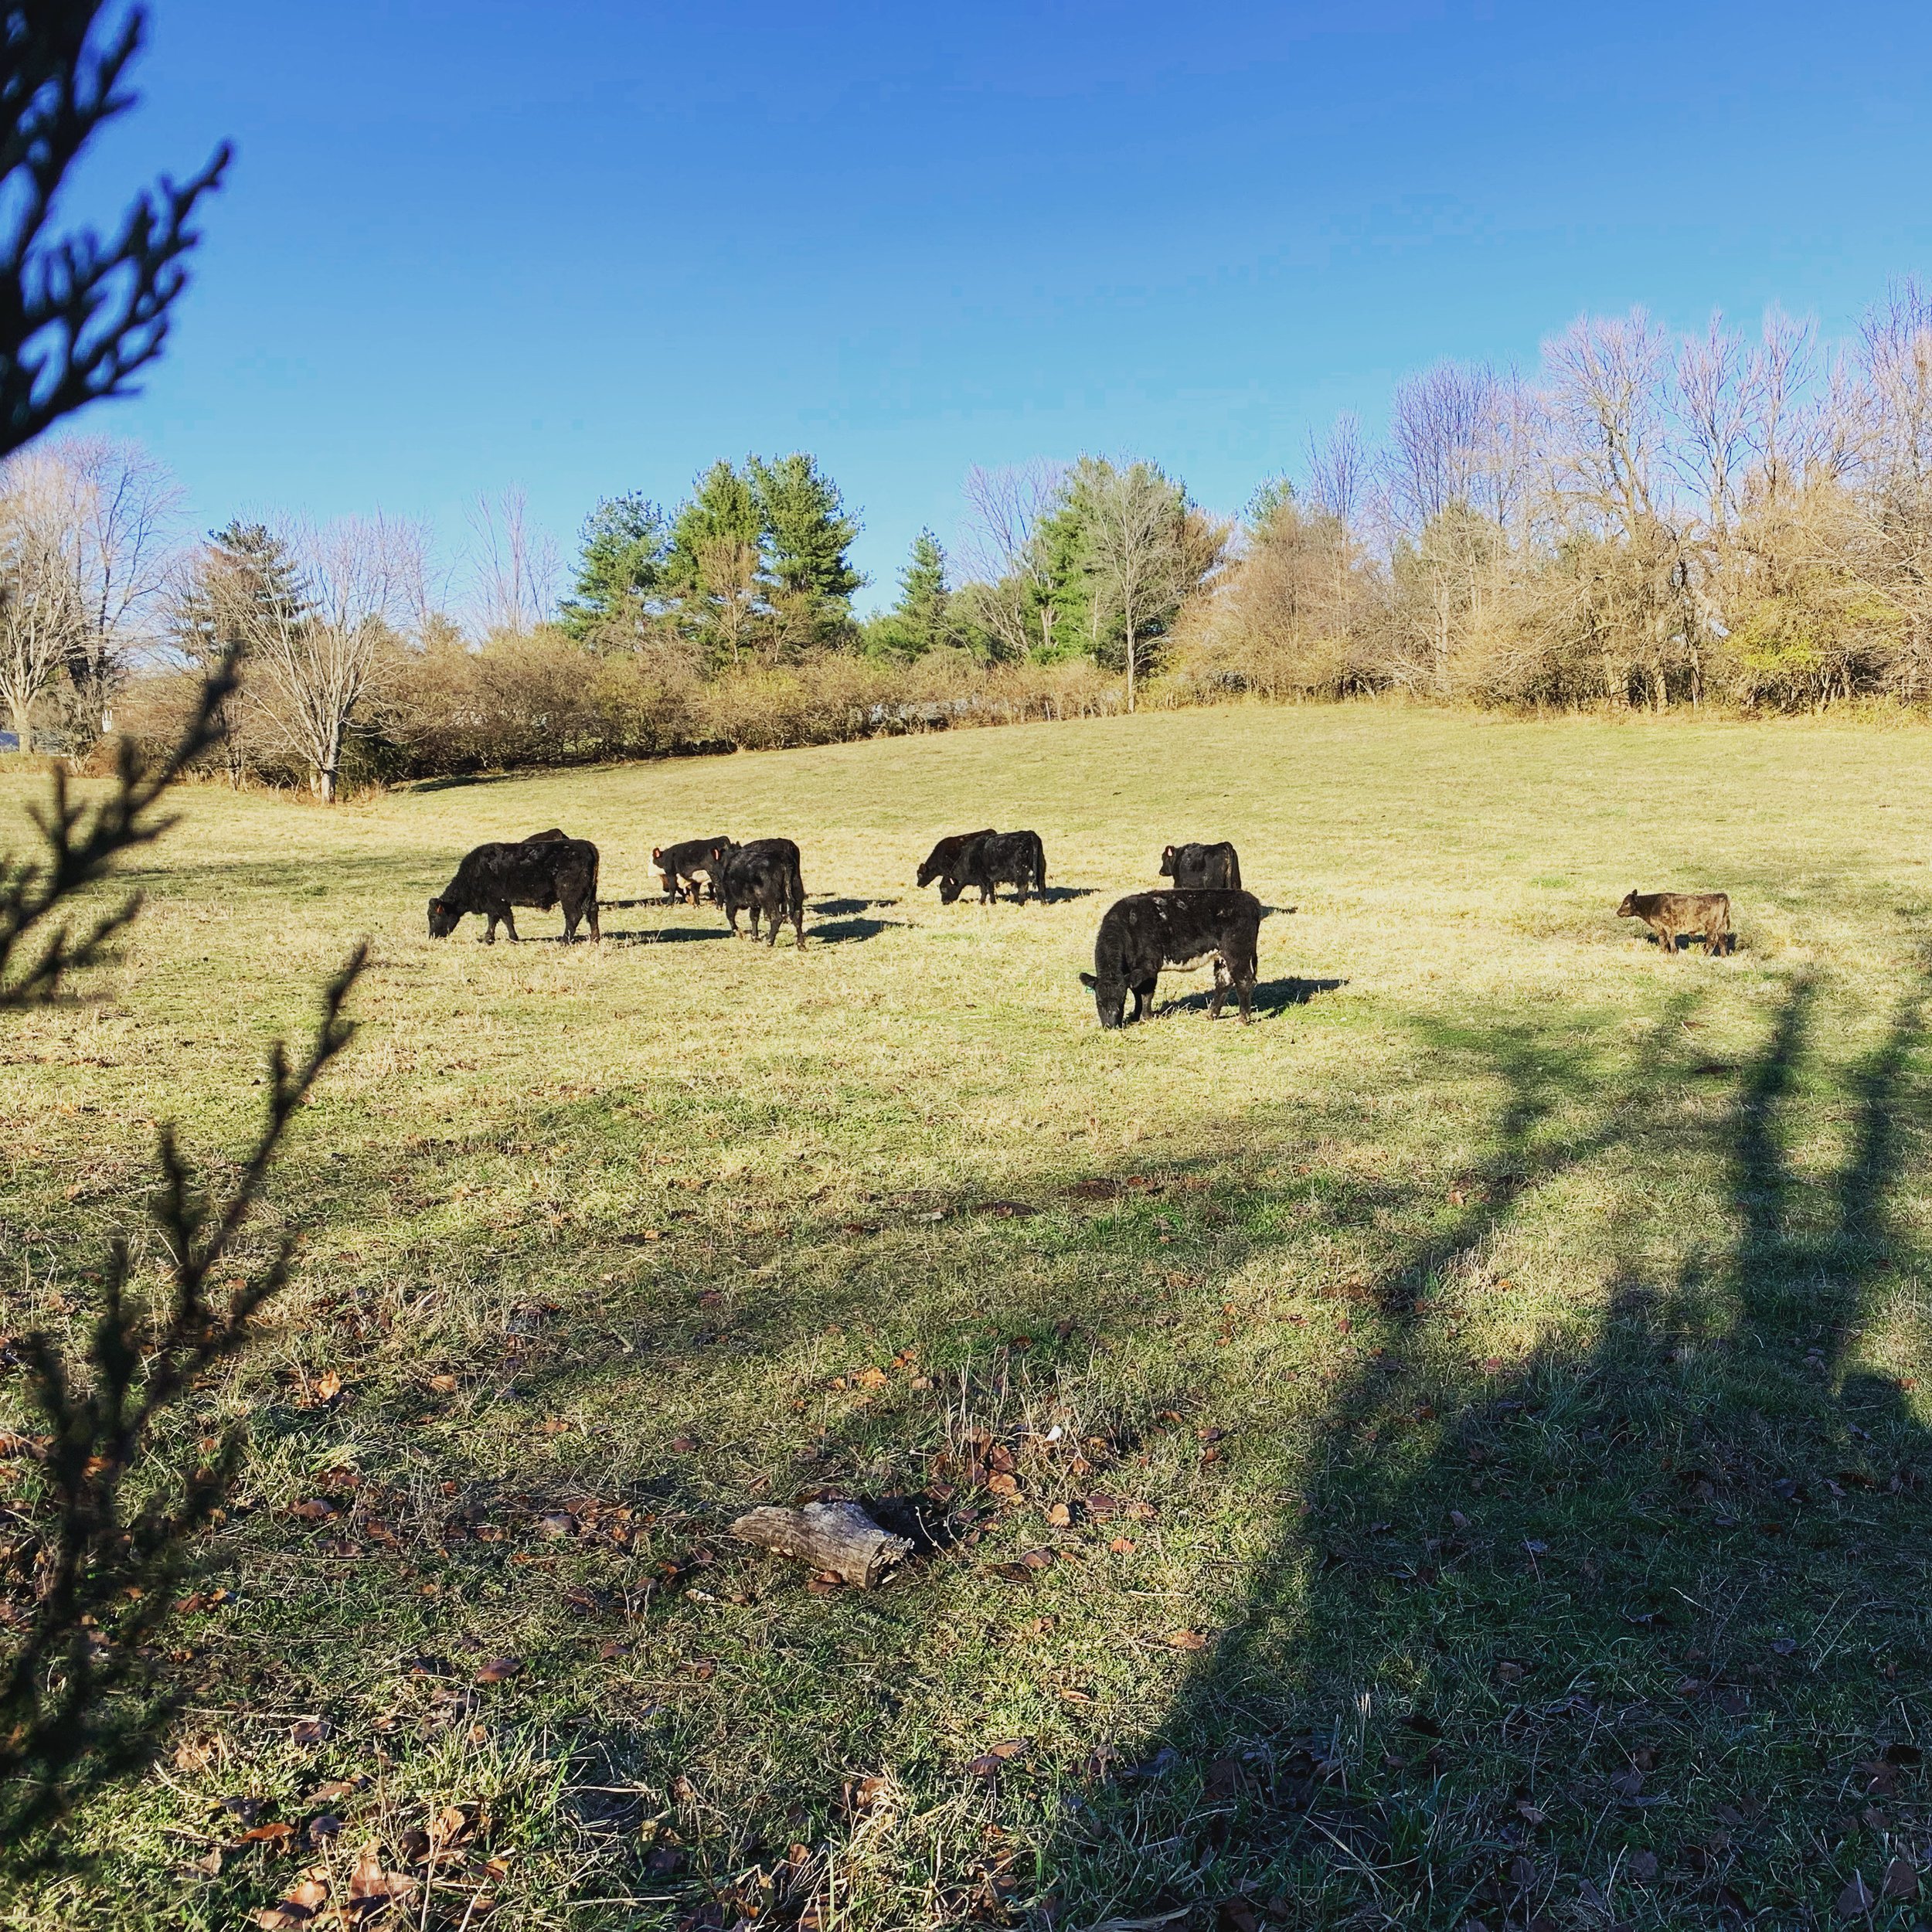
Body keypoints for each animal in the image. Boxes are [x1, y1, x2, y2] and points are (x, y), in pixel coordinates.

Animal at [428, 835, 600, 943]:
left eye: (434, 917)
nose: (432, 936)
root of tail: (586, 846)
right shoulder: (493, 904)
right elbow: (493, 920)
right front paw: (488, 938)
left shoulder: (499, 902)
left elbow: (506, 919)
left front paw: (512, 938)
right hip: (589, 894)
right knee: (592, 910)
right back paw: (595, 939)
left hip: (570, 895)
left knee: (573, 915)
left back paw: (564, 941)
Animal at [716, 837, 806, 947]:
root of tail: (783, 858)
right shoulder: (755, 903)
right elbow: (754, 917)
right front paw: (754, 937)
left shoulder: (731, 899)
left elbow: (730, 915)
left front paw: (739, 933)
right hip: (797, 893)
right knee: (797, 916)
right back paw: (800, 943)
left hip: (769, 900)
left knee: (777, 918)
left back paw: (769, 941)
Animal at [939, 830, 1048, 905]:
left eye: (943, 889)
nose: (944, 902)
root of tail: (1029, 834)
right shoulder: (987, 879)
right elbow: (988, 890)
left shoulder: (984, 877)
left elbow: (986, 890)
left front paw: (986, 902)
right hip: (1040, 867)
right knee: (1041, 884)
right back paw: (1043, 903)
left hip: (1019, 872)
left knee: (1023, 886)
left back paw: (1020, 904)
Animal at [1080, 889, 1263, 1028]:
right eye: (1099, 1001)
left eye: (1121, 1001)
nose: (1110, 1026)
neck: (1128, 926)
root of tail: (1249, 899)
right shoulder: (1134, 971)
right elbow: (1136, 992)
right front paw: (1135, 1015)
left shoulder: (1149, 966)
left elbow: (1146, 993)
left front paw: (1146, 1017)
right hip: (1223, 956)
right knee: (1224, 981)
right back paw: (1211, 1015)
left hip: (1238, 952)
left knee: (1244, 980)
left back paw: (1242, 1019)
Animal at [1618, 889, 1733, 956]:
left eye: (1626, 903)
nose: (1618, 912)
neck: (1653, 904)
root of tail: (1721, 895)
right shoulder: (1660, 928)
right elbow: (1662, 940)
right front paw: (1664, 952)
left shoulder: (1668, 926)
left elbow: (1670, 939)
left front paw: (1674, 952)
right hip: (1721, 927)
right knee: (1722, 940)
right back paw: (1723, 956)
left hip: (1711, 928)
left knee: (1713, 940)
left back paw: (1705, 955)